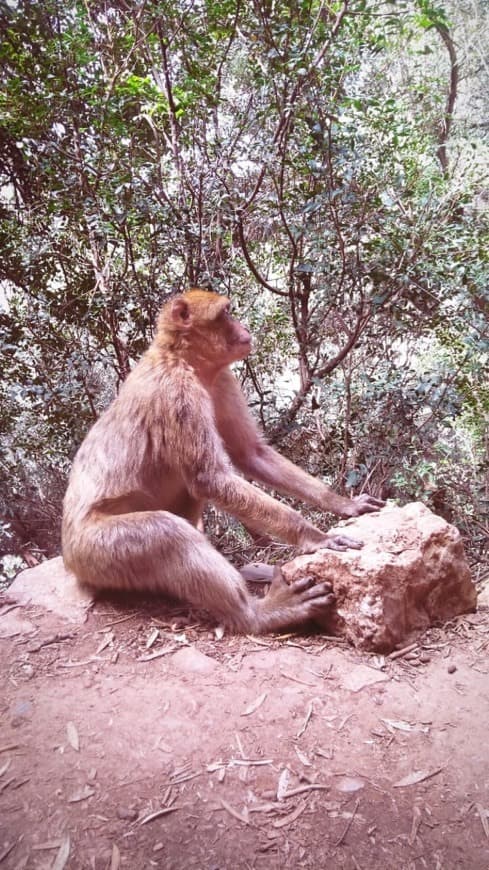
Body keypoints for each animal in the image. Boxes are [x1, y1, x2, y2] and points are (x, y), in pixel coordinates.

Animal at [61, 290, 384, 636]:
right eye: (226, 314)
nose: (244, 328)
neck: (185, 361)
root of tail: (68, 556)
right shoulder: (178, 394)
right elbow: (210, 478)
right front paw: (313, 535)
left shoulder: (223, 380)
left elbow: (251, 453)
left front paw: (342, 503)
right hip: (96, 552)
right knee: (168, 533)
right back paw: (256, 614)